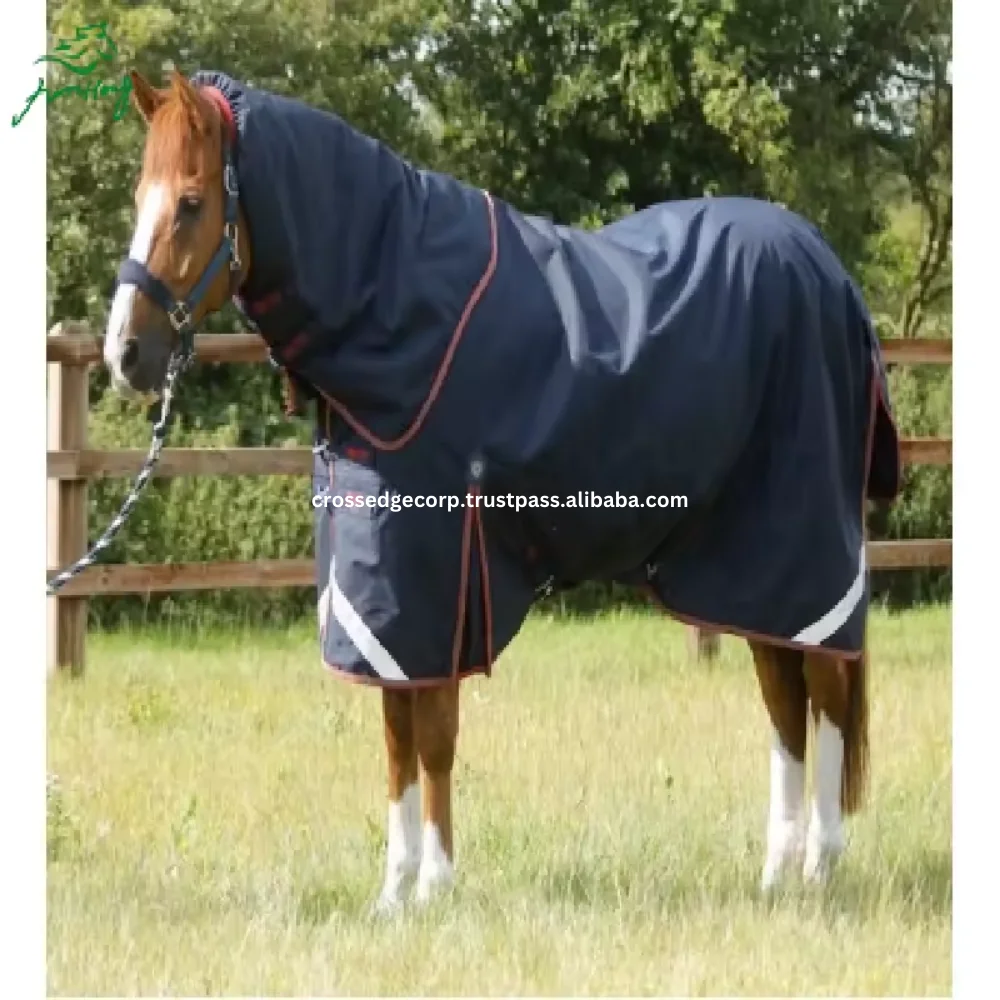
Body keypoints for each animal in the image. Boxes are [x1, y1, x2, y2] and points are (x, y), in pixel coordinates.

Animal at [102, 68, 900, 912]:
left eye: (191, 202)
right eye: (139, 196)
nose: (125, 355)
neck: (399, 316)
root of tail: (825, 267)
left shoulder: (443, 577)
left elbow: (435, 736)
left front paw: (434, 885)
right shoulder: (382, 596)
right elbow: (396, 736)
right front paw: (395, 893)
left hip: (802, 547)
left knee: (824, 690)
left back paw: (820, 867)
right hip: (750, 569)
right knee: (784, 700)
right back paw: (777, 873)